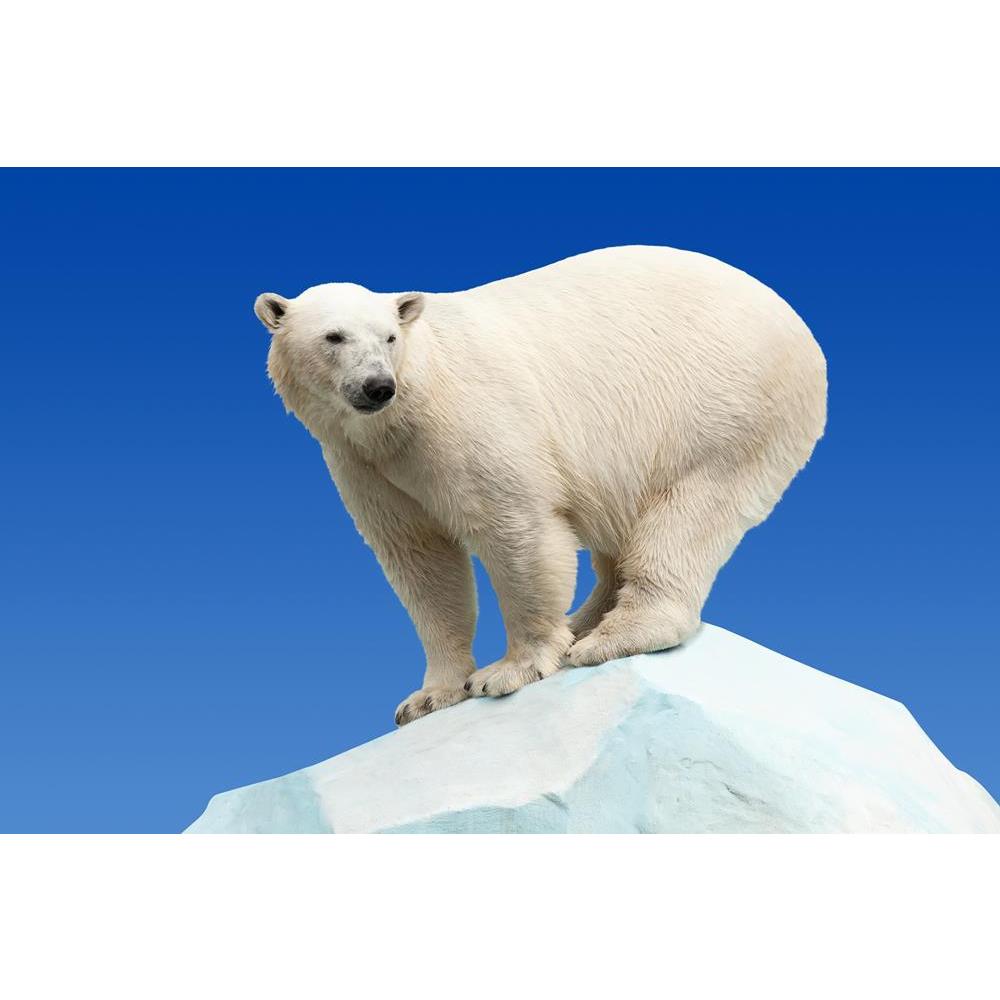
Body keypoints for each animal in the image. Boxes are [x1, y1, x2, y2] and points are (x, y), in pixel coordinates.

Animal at [254, 246, 827, 726]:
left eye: (389, 338)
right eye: (334, 336)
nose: (378, 386)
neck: (402, 415)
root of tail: (798, 324)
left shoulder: (468, 423)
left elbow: (516, 527)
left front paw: (510, 669)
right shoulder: (365, 465)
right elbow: (421, 559)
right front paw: (429, 697)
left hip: (724, 408)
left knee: (690, 513)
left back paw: (611, 637)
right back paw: (586, 620)